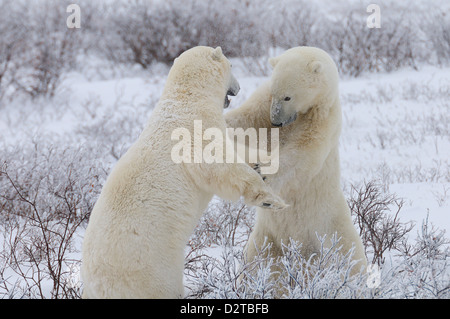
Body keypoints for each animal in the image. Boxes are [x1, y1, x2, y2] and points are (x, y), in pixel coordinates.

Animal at [81, 47, 284, 300]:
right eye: (232, 66)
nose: (238, 87)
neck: (187, 98)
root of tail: (96, 285)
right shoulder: (194, 132)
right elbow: (219, 164)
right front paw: (270, 200)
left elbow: (233, 147)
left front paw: (266, 160)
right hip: (151, 269)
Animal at [227, 47, 368, 278]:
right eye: (275, 92)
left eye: (288, 96)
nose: (276, 121)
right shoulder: (263, 106)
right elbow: (243, 123)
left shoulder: (323, 119)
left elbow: (300, 155)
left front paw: (262, 170)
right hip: (266, 239)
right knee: (262, 267)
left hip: (332, 230)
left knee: (349, 262)